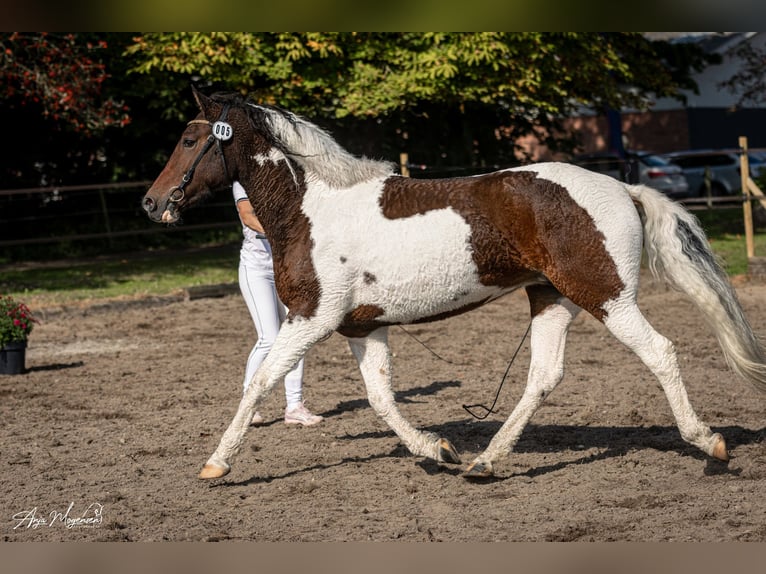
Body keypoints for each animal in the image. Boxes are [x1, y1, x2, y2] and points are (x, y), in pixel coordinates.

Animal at [144, 86, 766, 482]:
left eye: (191, 140)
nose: (152, 203)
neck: (313, 207)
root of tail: (622, 188)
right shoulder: (360, 327)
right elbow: (382, 399)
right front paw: (438, 449)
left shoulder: (312, 319)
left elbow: (259, 383)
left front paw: (216, 463)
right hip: (553, 298)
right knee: (543, 376)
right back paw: (485, 462)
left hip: (606, 296)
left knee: (660, 352)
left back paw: (709, 443)